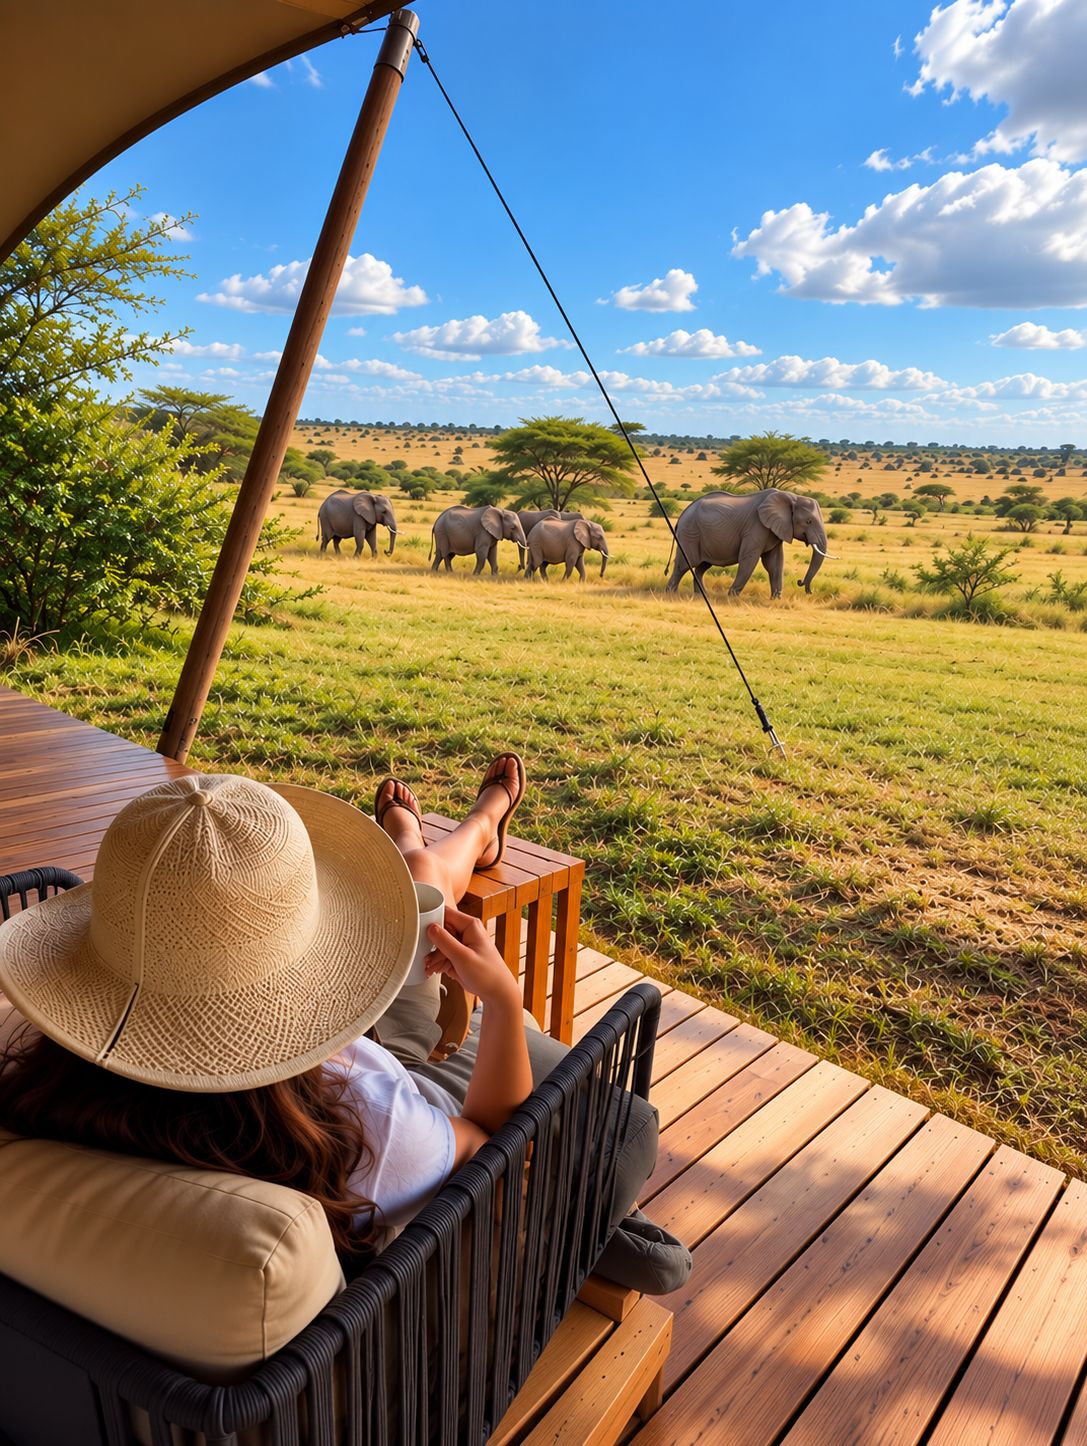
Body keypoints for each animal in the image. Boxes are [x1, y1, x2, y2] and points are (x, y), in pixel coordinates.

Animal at [665, 489, 830, 597]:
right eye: (809, 521)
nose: (801, 583)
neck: (792, 496)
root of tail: (682, 515)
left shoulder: (774, 531)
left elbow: (775, 563)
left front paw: (776, 599)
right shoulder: (756, 527)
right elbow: (749, 559)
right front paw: (732, 597)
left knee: (701, 567)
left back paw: (701, 595)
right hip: (690, 533)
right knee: (684, 565)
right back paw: (671, 594)